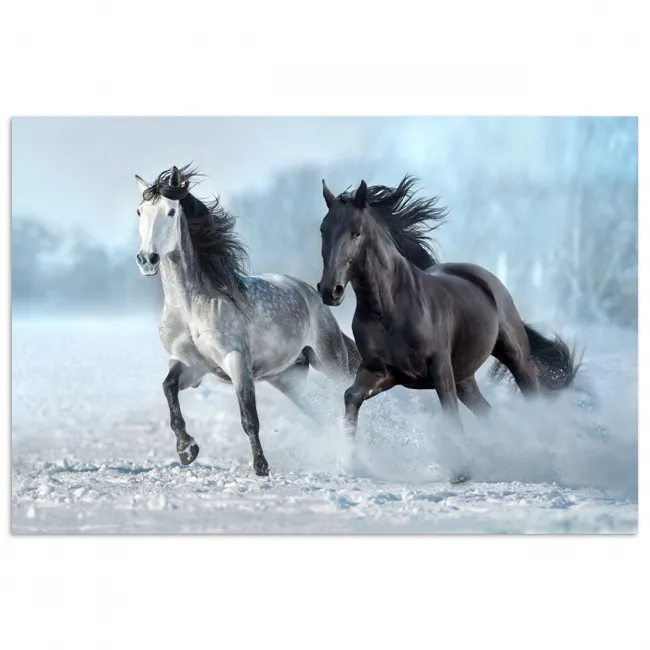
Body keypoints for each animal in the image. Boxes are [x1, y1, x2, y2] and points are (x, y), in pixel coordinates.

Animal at [134, 164, 360, 476]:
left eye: (170, 211)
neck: (191, 307)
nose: (147, 259)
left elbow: (249, 417)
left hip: (330, 361)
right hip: (288, 378)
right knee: (322, 413)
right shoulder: (190, 365)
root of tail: (311, 294)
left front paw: (261, 467)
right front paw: (187, 449)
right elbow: (168, 389)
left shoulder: (237, 361)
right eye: (139, 211)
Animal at [316, 175, 579, 483]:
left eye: (356, 233)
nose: (330, 290)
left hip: (515, 356)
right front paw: (349, 463)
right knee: (487, 412)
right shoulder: (381, 371)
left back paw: (545, 463)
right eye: (323, 230)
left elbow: (450, 414)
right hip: (465, 377)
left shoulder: (439, 368)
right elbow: (351, 397)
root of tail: (485, 278)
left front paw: (461, 472)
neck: (390, 309)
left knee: (532, 397)